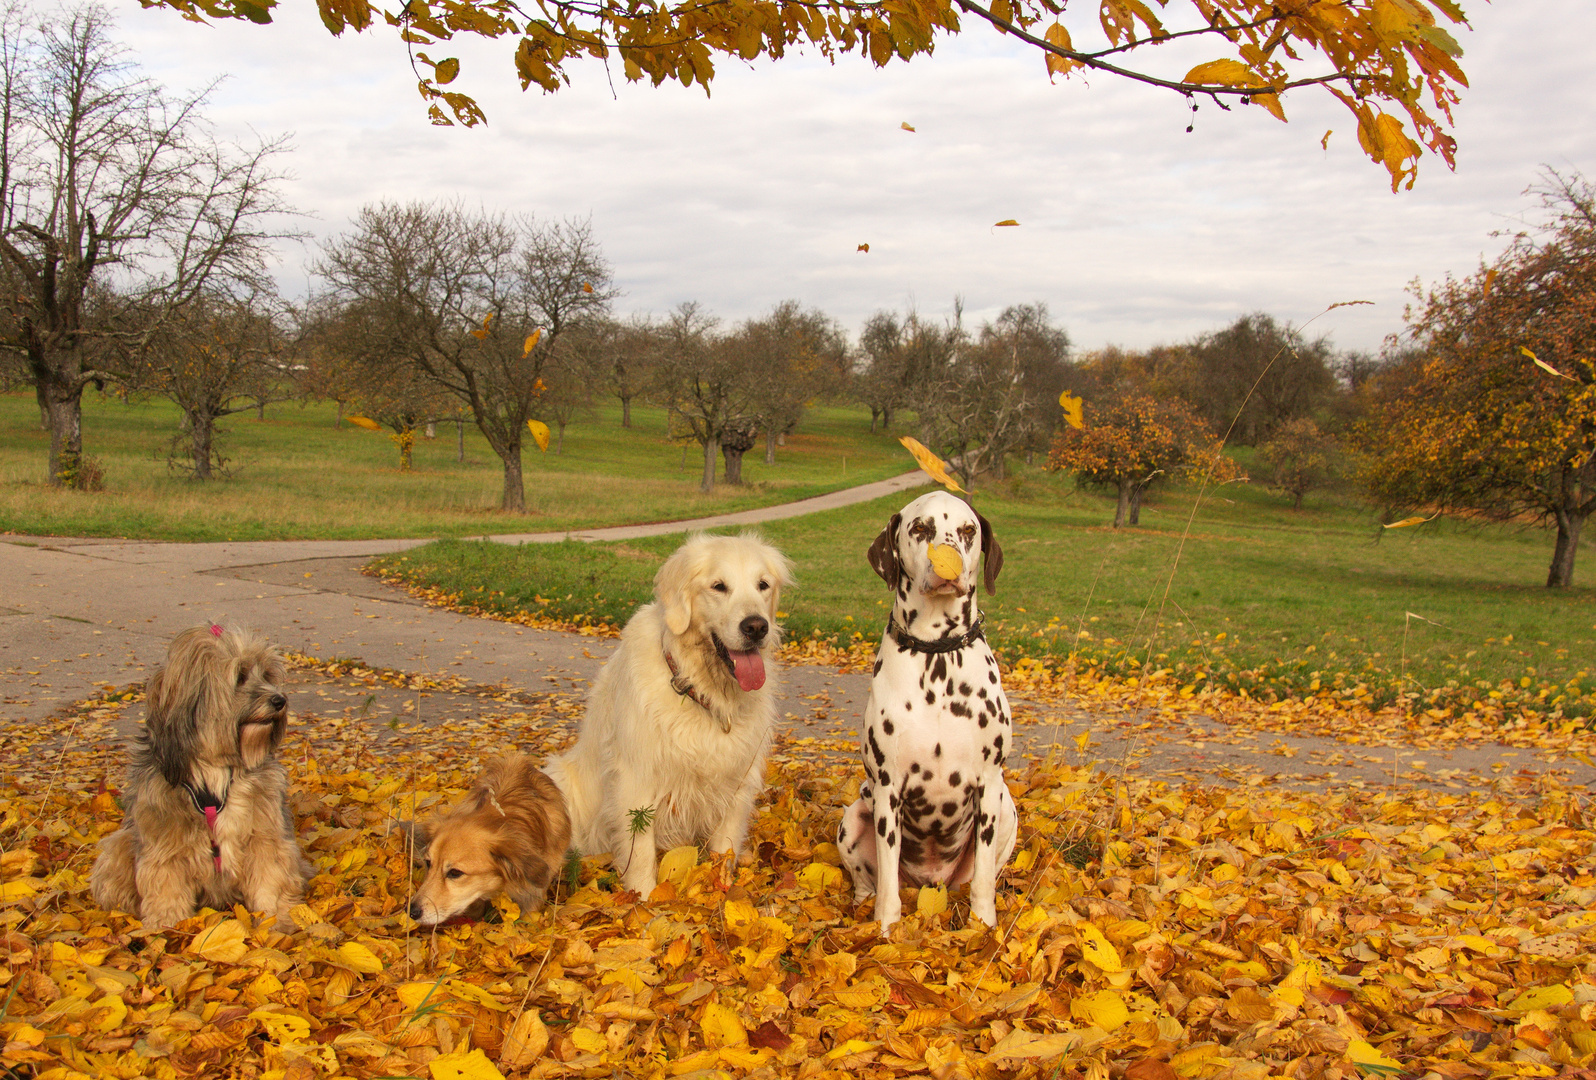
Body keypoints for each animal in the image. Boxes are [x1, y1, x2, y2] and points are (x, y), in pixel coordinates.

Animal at [90, 622, 308, 925]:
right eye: (240, 676)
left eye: (266, 675)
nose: (280, 700)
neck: (215, 767)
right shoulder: (163, 836)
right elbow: (165, 882)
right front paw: (167, 925)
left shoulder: (265, 831)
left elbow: (270, 875)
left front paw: (275, 919)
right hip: (118, 845)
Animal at [842, 491, 1015, 938]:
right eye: (920, 528)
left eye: (969, 530)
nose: (947, 562)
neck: (938, 654)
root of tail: (931, 884)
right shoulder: (888, 789)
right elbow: (887, 883)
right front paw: (886, 932)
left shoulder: (989, 784)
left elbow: (985, 879)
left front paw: (982, 928)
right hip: (854, 816)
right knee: (868, 881)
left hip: (1007, 809)